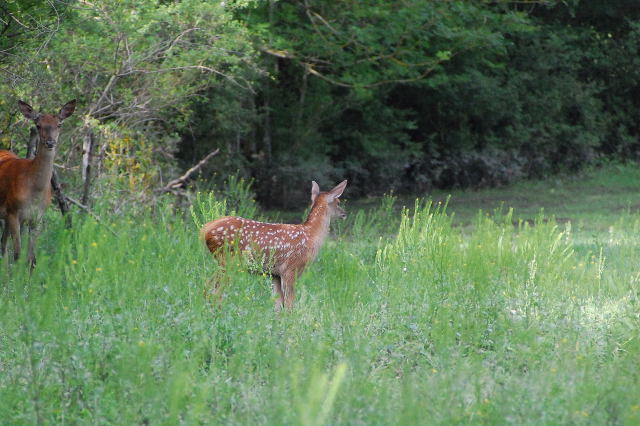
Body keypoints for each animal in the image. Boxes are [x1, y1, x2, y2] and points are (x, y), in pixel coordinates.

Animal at [0, 100, 76, 266]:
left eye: (59, 124)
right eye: (38, 125)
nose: (50, 142)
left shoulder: (37, 217)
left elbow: (31, 259)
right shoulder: (13, 211)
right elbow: (17, 254)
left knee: (3, 245)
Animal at [202, 180, 348, 310]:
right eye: (338, 202)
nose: (344, 214)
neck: (311, 235)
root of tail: (205, 230)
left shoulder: (276, 274)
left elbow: (277, 305)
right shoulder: (290, 269)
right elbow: (289, 304)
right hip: (228, 260)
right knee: (213, 289)